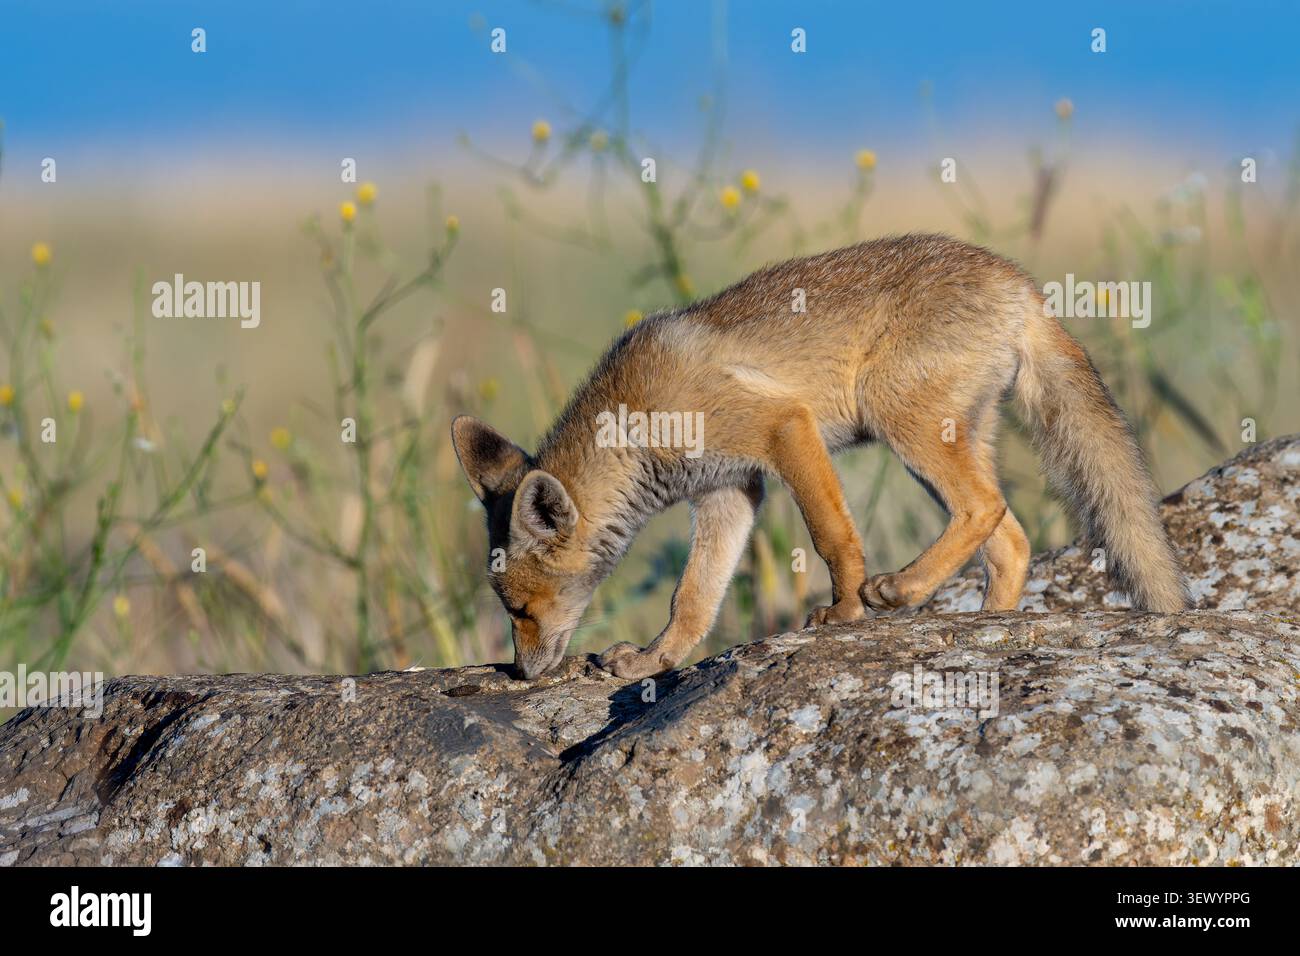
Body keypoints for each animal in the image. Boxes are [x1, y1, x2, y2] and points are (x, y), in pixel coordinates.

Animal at [452, 233, 1189, 680]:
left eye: (520, 609)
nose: (521, 673)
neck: (635, 419)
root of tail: (1024, 286)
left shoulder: (785, 429)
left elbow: (833, 535)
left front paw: (844, 615)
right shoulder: (729, 491)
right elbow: (694, 597)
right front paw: (656, 661)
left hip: (898, 417)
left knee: (986, 508)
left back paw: (903, 590)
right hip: (950, 439)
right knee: (1011, 539)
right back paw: (990, 624)